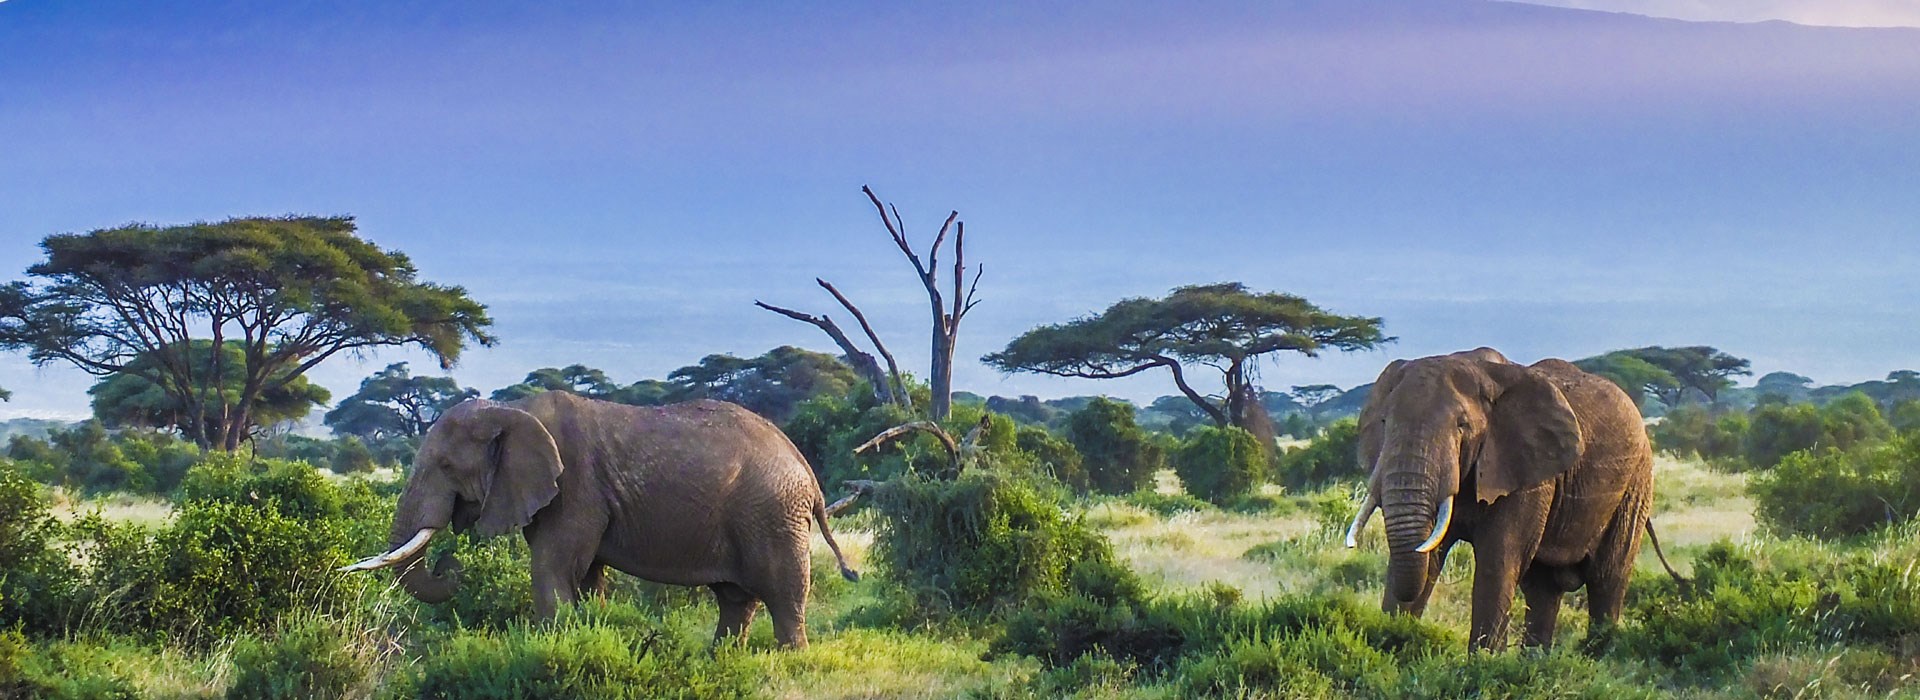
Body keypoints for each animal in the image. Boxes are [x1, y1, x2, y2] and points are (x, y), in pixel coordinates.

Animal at [341, 389, 860, 644]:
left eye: (447, 466)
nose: (452, 565)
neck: (512, 410)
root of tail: (808, 473)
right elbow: (586, 575)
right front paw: (589, 631)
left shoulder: (575, 487)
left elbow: (552, 568)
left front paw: (554, 644)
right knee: (735, 598)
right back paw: (722, 660)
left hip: (772, 513)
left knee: (783, 594)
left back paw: (789, 659)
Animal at [1336, 347, 1666, 648]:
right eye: (1383, 423)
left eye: (1462, 426)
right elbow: (1427, 554)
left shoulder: (1525, 471)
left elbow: (1498, 561)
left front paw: (1481, 665)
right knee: (1543, 588)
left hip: (1636, 484)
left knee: (1606, 580)